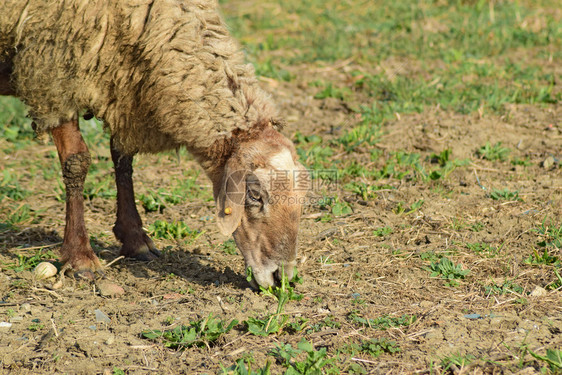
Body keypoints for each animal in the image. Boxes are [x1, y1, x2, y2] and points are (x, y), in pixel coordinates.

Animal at [0, 0, 306, 288]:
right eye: (255, 195)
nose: (283, 278)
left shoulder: (122, 88)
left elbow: (123, 159)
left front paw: (135, 240)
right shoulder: (53, 74)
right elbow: (76, 162)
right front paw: (80, 257)